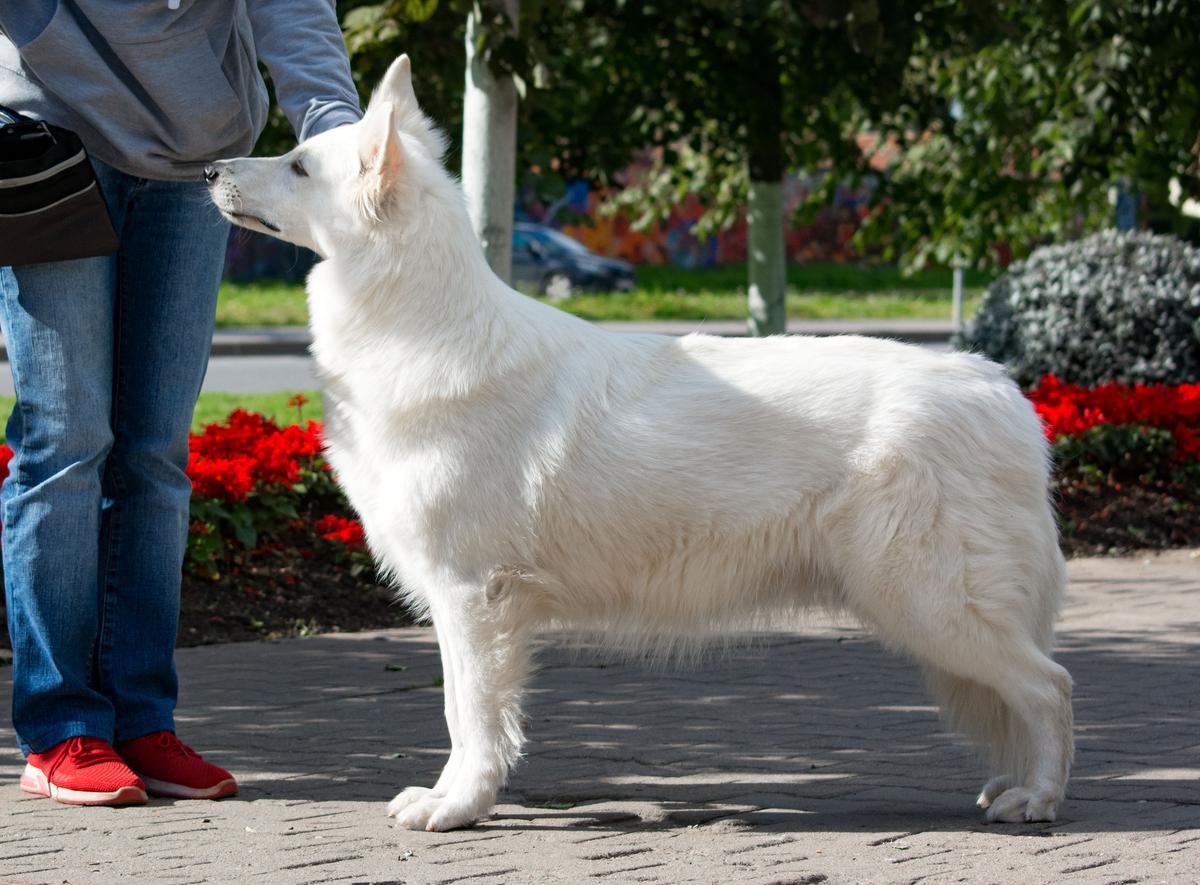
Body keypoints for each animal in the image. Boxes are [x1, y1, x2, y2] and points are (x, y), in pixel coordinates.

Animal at [204, 56, 1070, 834]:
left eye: (298, 165)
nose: (210, 168)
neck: (418, 322)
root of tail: (1004, 393)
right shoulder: (465, 603)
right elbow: (459, 708)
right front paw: (454, 798)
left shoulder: (474, 597)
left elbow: (471, 716)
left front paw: (458, 807)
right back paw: (1015, 785)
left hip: (928, 602)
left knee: (1051, 686)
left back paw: (1039, 797)